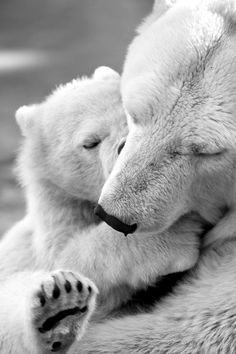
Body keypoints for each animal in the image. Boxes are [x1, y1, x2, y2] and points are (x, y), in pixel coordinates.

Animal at [0, 67, 203, 354]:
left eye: (132, 118)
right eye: (90, 142)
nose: (126, 145)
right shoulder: (57, 211)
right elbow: (68, 256)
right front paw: (174, 236)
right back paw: (59, 314)